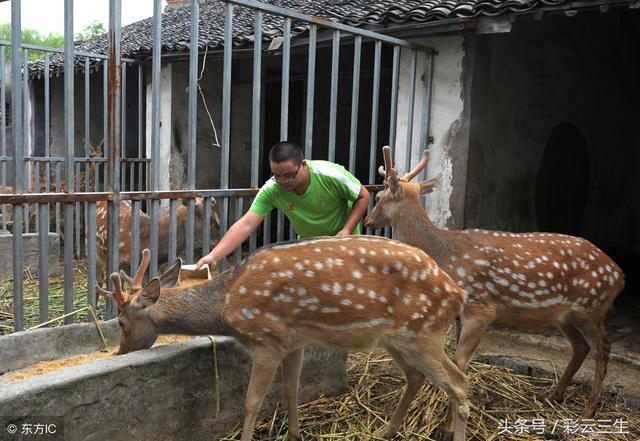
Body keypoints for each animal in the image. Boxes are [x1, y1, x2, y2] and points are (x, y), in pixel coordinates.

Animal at [99, 235, 470, 440]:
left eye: (120, 321)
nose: (119, 352)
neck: (227, 304)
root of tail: (457, 293)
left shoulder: (266, 339)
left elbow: (251, 401)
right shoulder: (294, 342)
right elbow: (291, 388)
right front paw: (294, 434)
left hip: (423, 332)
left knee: (458, 382)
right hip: (396, 339)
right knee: (417, 377)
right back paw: (386, 431)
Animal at [364, 144, 624, 416]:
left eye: (379, 197)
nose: (368, 222)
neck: (445, 255)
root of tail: (619, 275)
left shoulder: (481, 307)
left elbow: (458, 362)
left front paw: (439, 412)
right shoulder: (461, 314)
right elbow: (457, 360)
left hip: (591, 306)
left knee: (602, 348)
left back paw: (588, 409)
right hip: (565, 315)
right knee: (581, 347)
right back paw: (554, 395)